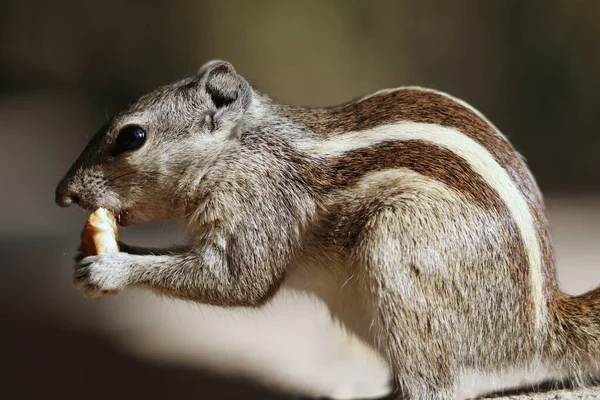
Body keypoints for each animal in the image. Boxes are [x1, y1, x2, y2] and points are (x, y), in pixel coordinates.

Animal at [56, 60, 600, 400]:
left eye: (133, 136)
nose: (64, 193)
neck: (241, 150)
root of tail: (537, 321)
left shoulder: (261, 206)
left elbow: (237, 279)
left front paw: (111, 267)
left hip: (398, 248)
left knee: (436, 387)